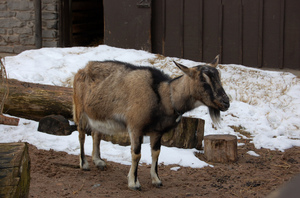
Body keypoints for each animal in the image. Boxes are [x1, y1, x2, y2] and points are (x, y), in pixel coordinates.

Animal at [72, 55, 230, 190]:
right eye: (203, 81)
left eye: (219, 77)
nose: (226, 103)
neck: (164, 96)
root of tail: (82, 70)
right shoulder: (135, 127)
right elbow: (136, 154)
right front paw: (134, 183)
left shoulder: (157, 131)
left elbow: (156, 153)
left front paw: (156, 180)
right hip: (80, 110)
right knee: (81, 135)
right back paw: (84, 164)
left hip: (97, 114)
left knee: (96, 134)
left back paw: (98, 161)